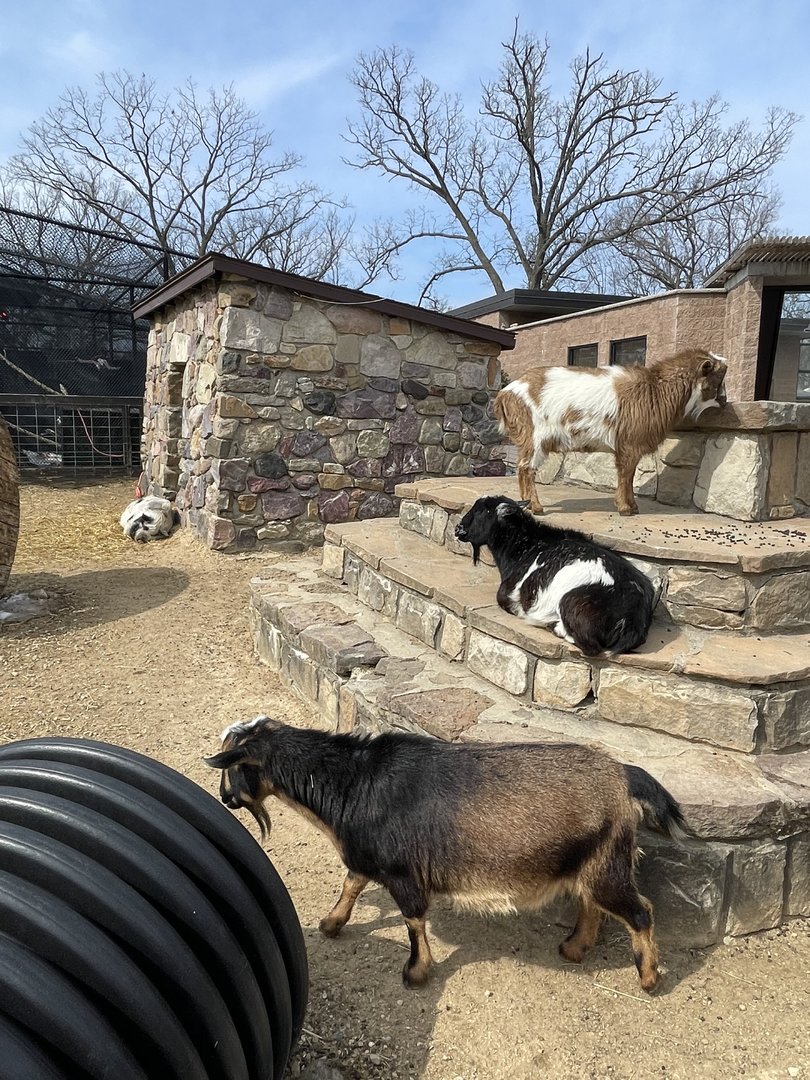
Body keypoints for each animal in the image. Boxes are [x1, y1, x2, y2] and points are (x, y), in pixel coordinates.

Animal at [206, 716, 684, 993]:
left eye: (233, 766)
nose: (224, 799)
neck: (353, 784)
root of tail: (623, 778)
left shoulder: (402, 874)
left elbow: (413, 920)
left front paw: (415, 973)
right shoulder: (367, 858)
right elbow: (351, 884)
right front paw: (331, 923)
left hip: (608, 865)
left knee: (640, 910)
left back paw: (648, 977)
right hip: (589, 863)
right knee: (593, 905)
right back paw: (573, 948)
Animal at [455, 495, 658, 655]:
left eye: (482, 511)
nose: (458, 528)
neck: (526, 546)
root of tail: (634, 614)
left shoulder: (508, 591)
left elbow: (505, 600)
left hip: (569, 601)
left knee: (590, 646)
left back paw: (553, 626)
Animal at [494, 349, 727, 515]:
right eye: (718, 377)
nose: (725, 401)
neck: (656, 389)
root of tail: (506, 393)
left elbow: (629, 476)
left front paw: (632, 506)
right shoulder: (630, 443)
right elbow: (626, 474)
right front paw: (625, 509)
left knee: (522, 468)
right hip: (534, 436)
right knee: (526, 468)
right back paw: (536, 507)